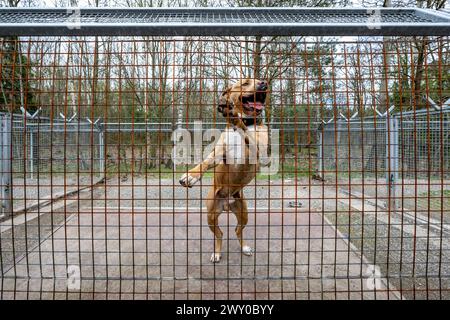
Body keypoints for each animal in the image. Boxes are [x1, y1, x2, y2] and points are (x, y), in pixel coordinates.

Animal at [180, 79, 270, 262]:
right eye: (245, 83)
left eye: (259, 81)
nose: (263, 83)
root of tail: (227, 203)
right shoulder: (220, 154)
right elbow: (205, 163)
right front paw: (191, 175)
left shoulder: (262, 155)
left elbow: (248, 136)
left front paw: (235, 118)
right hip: (210, 216)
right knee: (220, 234)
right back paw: (217, 252)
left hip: (243, 213)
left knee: (237, 230)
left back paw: (244, 248)